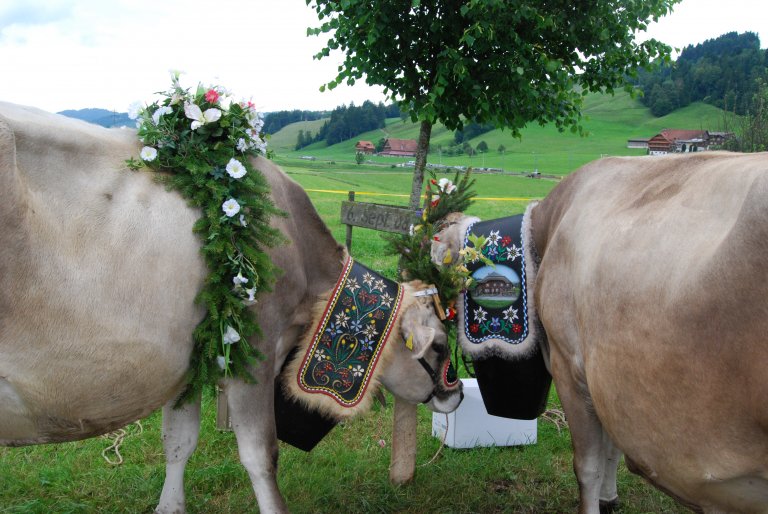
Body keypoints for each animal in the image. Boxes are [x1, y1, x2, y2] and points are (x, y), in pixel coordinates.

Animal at [0, 101, 463, 514]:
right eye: (440, 345)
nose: (456, 394)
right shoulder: (253, 352)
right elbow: (262, 456)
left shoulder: (189, 363)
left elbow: (179, 441)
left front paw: (170, 507)